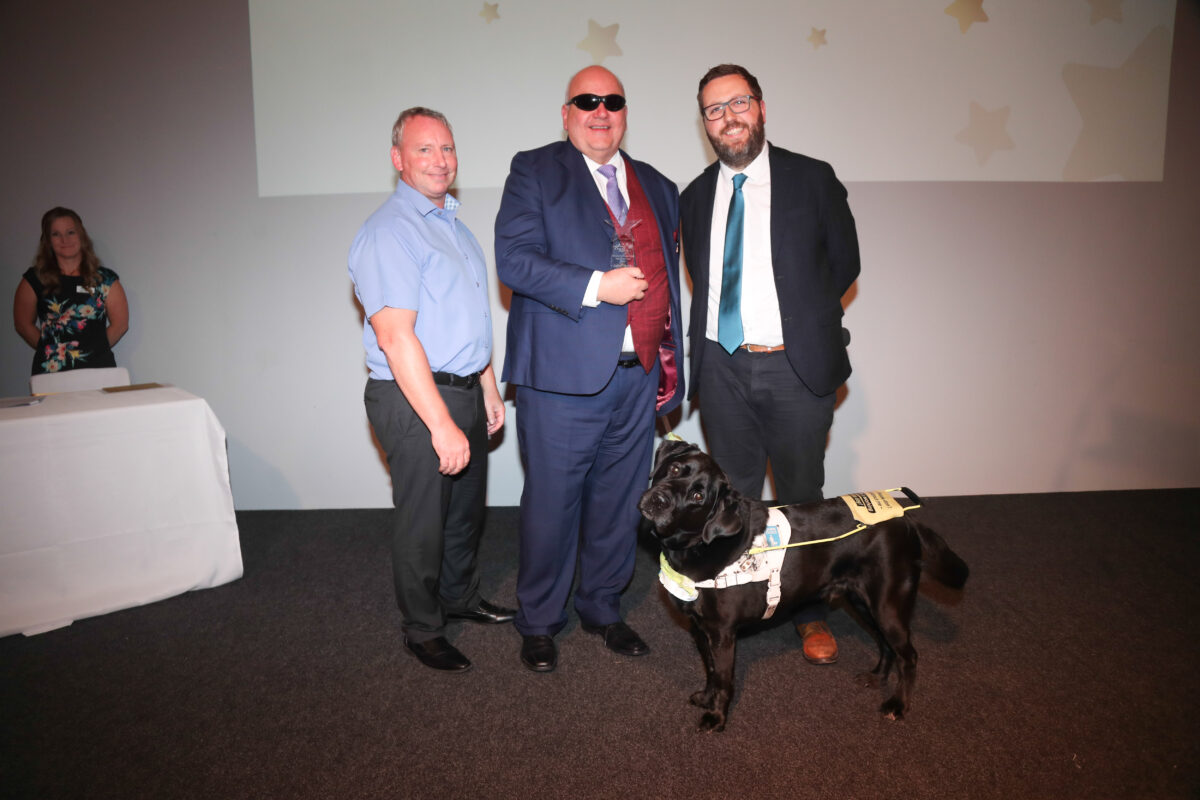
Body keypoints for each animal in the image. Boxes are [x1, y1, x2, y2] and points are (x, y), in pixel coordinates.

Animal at [638, 438, 964, 734]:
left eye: (697, 495)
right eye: (675, 468)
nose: (659, 500)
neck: (695, 548)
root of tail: (906, 519)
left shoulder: (722, 634)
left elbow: (722, 679)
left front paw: (716, 717)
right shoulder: (699, 628)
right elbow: (709, 670)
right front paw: (706, 698)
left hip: (888, 605)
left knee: (908, 655)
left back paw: (899, 704)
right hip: (863, 602)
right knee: (886, 644)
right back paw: (876, 678)